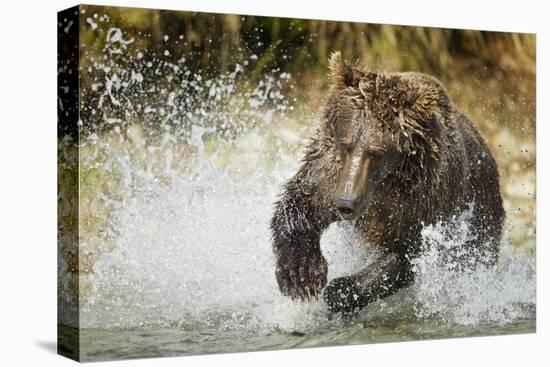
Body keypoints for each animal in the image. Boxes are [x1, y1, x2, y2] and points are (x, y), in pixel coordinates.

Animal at [270, 51, 504, 316]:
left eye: (377, 152)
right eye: (346, 144)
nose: (345, 204)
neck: (385, 183)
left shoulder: (426, 199)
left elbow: (410, 255)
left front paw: (342, 290)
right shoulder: (331, 171)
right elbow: (302, 201)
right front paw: (301, 275)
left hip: (482, 217)